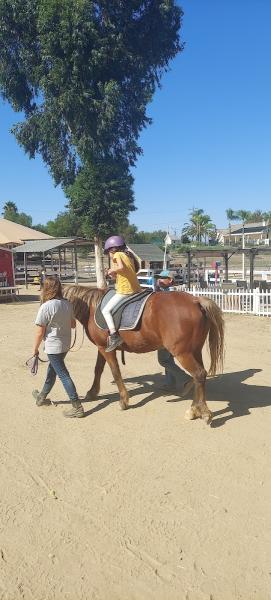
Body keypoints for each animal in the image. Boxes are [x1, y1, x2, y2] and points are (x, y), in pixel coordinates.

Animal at [64, 288, 225, 424]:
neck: (92, 308)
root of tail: (196, 301)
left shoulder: (106, 349)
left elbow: (115, 372)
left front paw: (123, 400)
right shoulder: (102, 347)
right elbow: (98, 369)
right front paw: (92, 392)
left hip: (183, 353)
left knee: (199, 374)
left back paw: (202, 411)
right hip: (195, 351)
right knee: (199, 377)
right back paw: (194, 409)